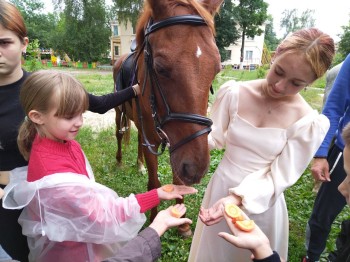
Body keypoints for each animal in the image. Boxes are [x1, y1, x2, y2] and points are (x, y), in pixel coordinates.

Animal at [113, 0, 223, 235]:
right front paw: (154, 221)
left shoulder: (178, 145)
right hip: (119, 111)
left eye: (217, 69)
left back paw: (139, 164)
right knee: (119, 133)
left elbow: (177, 179)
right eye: (160, 68)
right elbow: (154, 182)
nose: (197, 168)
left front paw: (182, 225)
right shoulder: (156, 142)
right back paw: (119, 161)